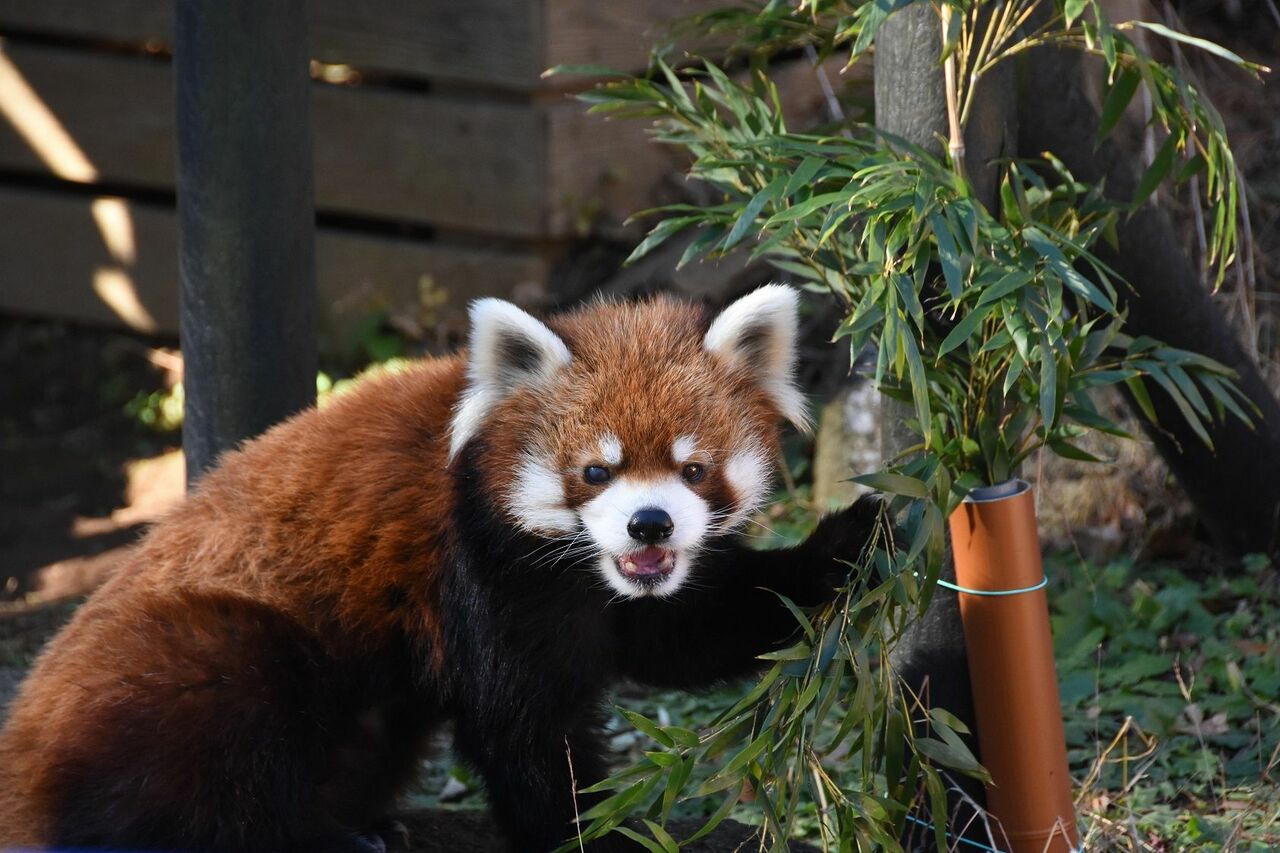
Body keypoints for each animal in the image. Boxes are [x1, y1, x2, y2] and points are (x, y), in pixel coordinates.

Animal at [0, 281, 880, 845]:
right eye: (595, 471)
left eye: (693, 469)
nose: (648, 523)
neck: (577, 570)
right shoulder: (478, 569)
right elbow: (522, 726)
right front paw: (585, 831)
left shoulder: (614, 592)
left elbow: (689, 629)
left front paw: (848, 542)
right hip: (178, 664)